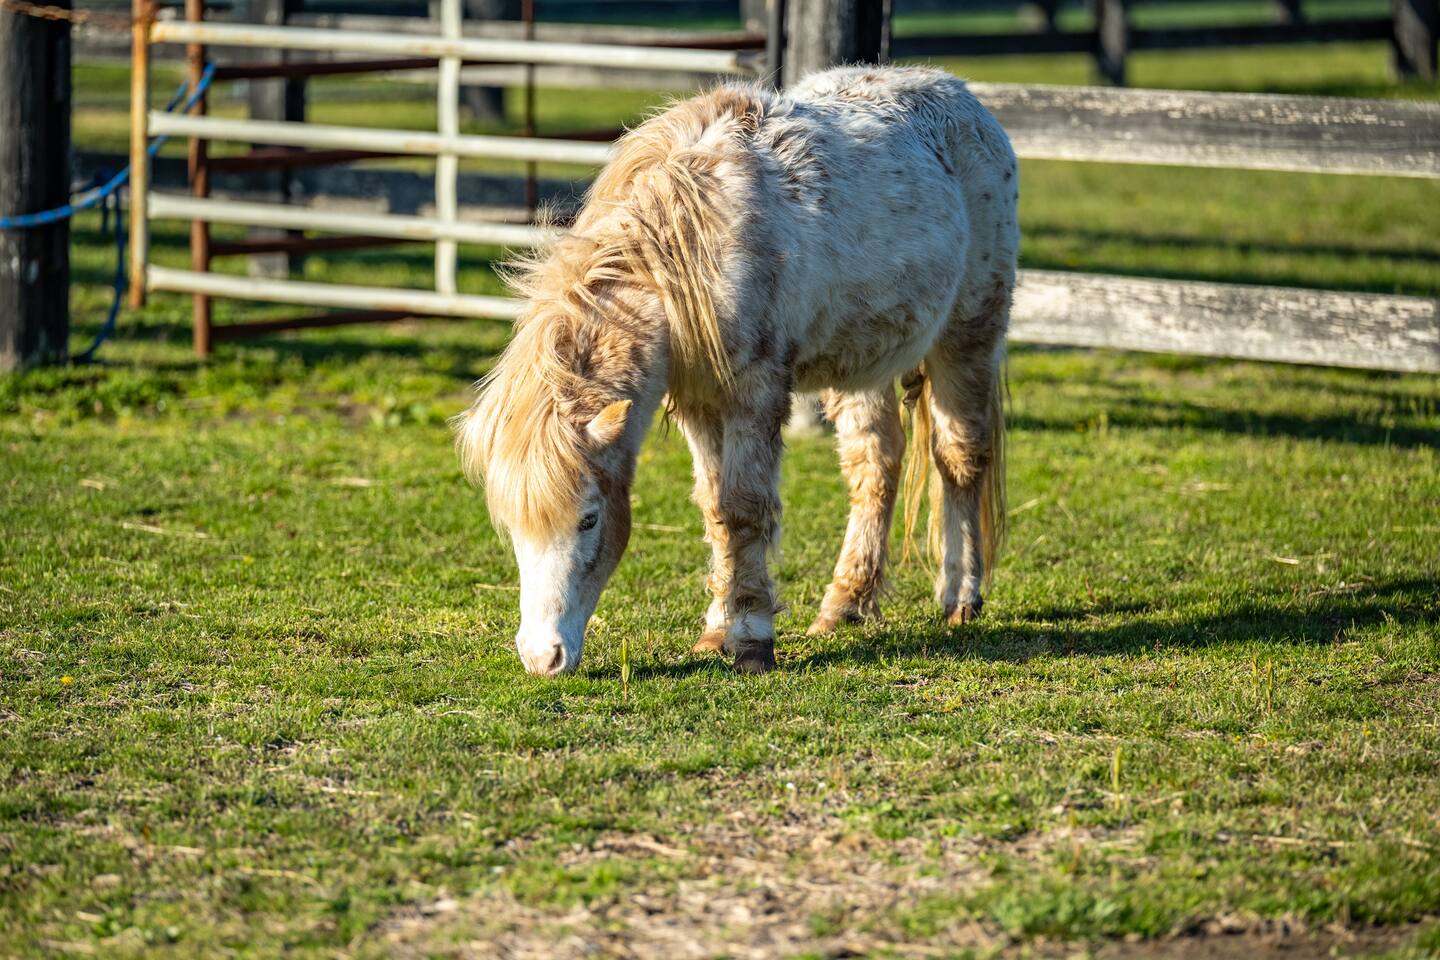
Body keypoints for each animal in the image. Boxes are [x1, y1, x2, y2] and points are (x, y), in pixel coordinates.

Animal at [456, 64, 1019, 676]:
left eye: (588, 519)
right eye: (513, 528)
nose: (543, 657)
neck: (688, 246)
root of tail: (961, 97)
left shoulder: (755, 391)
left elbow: (745, 508)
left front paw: (750, 638)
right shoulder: (699, 402)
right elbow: (715, 509)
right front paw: (714, 631)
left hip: (969, 336)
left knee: (959, 457)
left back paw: (960, 596)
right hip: (862, 365)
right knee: (877, 465)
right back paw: (845, 604)